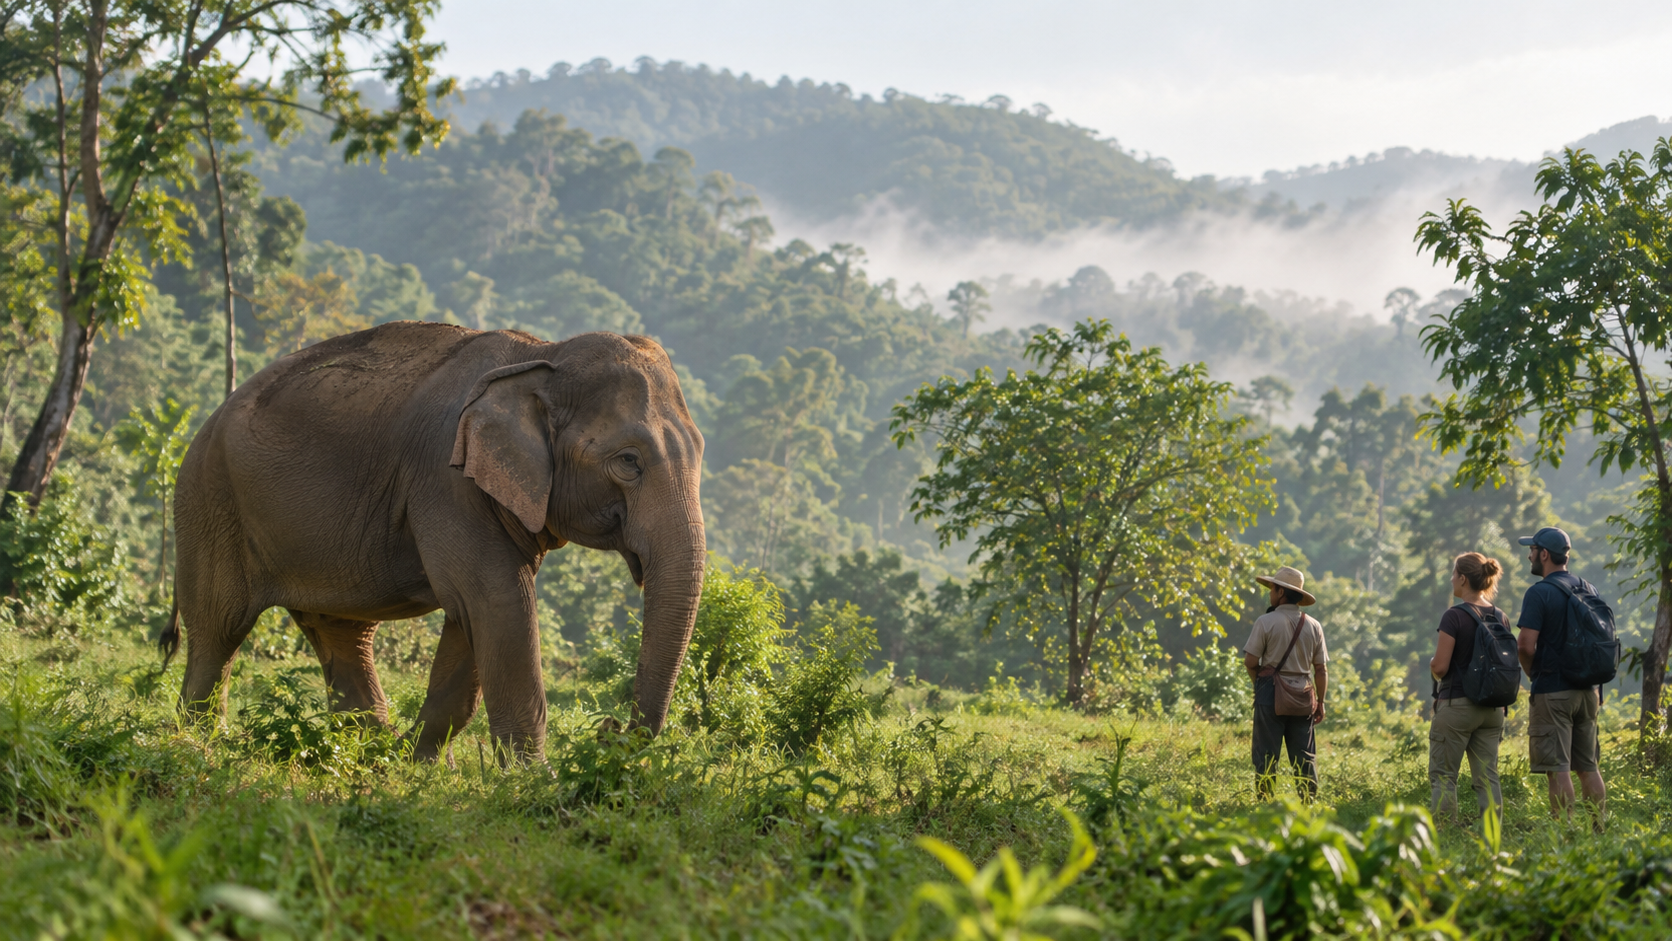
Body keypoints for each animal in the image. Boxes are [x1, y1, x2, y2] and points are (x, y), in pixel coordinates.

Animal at [162, 321, 706, 760]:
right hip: (209, 500)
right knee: (220, 627)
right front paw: (533, 781)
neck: (542, 355)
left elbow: (474, 616)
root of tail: (206, 422)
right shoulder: (446, 479)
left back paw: (368, 750)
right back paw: (197, 744)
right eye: (628, 461)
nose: (610, 729)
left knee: (342, 633)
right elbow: (498, 601)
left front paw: (417, 764)